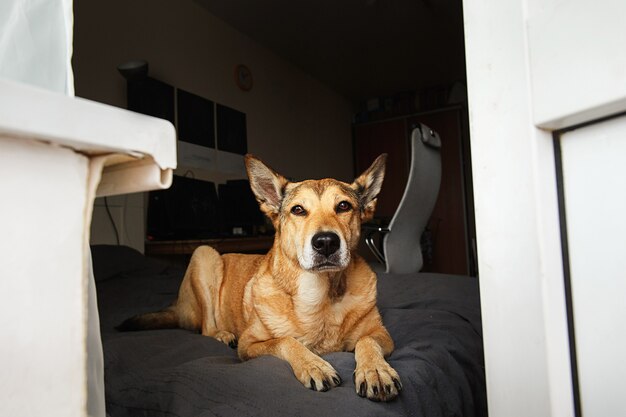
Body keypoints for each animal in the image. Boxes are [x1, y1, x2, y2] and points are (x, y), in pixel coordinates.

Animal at [118, 153, 400, 400]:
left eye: (343, 206)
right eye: (298, 210)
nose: (326, 242)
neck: (319, 296)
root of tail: (176, 306)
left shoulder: (383, 336)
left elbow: (367, 340)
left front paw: (375, 370)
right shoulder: (249, 345)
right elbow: (285, 340)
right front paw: (314, 365)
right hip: (204, 254)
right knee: (206, 327)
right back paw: (222, 334)